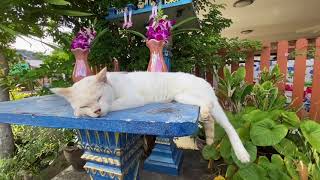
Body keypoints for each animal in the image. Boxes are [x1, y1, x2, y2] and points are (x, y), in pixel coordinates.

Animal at [50, 68, 250, 163]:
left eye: (99, 98)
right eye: (85, 104)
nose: (97, 111)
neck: (114, 84)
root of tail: (203, 80)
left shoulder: (131, 99)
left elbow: (112, 105)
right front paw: (81, 112)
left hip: (194, 97)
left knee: (223, 121)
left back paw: (241, 153)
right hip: (183, 97)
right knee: (208, 113)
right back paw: (207, 129)